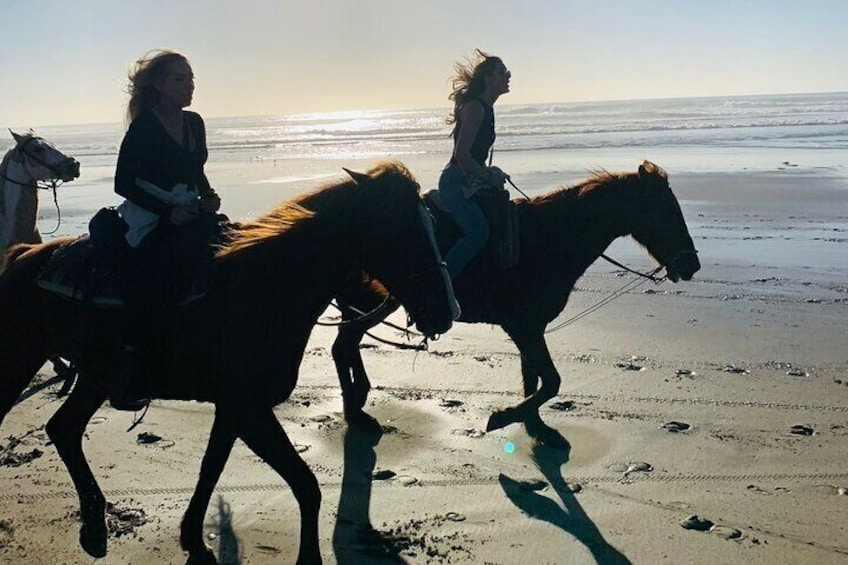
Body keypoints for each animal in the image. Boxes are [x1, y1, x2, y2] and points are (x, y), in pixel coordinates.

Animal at [0, 161, 458, 560]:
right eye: (401, 230)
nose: (446, 310)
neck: (265, 289)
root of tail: (22, 256)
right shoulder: (249, 408)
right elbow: (305, 484)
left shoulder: (233, 409)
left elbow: (212, 467)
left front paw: (191, 534)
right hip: (23, 364)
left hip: (95, 377)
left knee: (63, 429)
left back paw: (95, 523)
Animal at [334, 160, 700, 446]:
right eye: (667, 212)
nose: (692, 265)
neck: (551, 237)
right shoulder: (523, 326)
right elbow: (550, 380)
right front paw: (505, 416)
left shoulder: (530, 329)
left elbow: (533, 378)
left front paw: (532, 422)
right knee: (344, 344)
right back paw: (355, 410)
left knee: (345, 344)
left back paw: (358, 400)